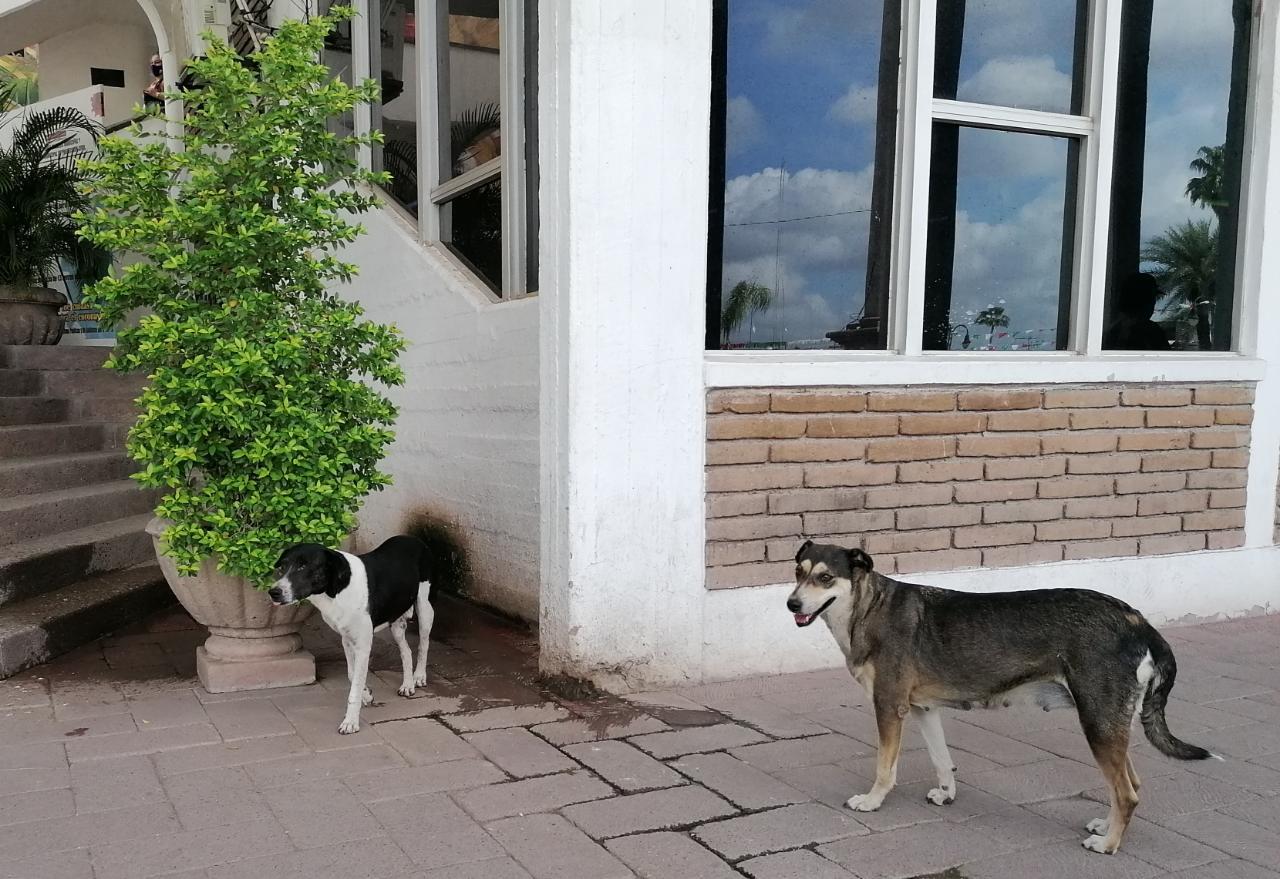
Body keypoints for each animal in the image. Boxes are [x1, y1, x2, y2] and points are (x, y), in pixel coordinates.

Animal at [268, 537, 435, 736]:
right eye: (283, 566)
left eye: (303, 566)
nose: (274, 592)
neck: (337, 590)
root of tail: (414, 539)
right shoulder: (347, 640)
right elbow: (351, 673)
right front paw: (367, 694)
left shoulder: (363, 646)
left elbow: (354, 686)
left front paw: (350, 722)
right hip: (395, 622)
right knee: (406, 651)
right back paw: (407, 684)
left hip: (424, 608)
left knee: (423, 644)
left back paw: (419, 677)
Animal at [783, 539, 1213, 854]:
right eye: (798, 572)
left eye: (825, 577)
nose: (791, 604)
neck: (868, 608)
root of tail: (1136, 620)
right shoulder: (923, 708)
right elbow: (942, 760)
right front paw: (947, 794)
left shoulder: (890, 707)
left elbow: (884, 769)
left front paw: (872, 801)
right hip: (1109, 724)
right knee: (1130, 783)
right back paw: (1106, 826)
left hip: (1098, 723)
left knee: (1126, 793)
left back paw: (1107, 843)